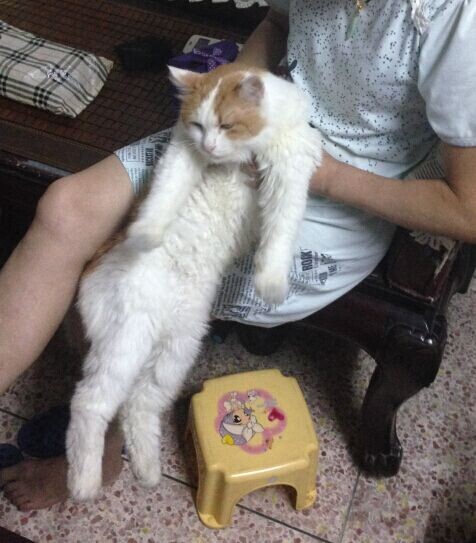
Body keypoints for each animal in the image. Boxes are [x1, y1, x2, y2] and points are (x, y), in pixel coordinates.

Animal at [66, 63, 322, 501]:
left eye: (227, 124)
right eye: (199, 125)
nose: (211, 146)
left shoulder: (291, 163)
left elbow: (281, 228)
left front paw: (270, 283)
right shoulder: (181, 150)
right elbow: (164, 196)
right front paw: (146, 234)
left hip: (174, 353)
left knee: (137, 407)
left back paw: (147, 471)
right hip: (127, 343)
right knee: (89, 403)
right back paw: (83, 482)